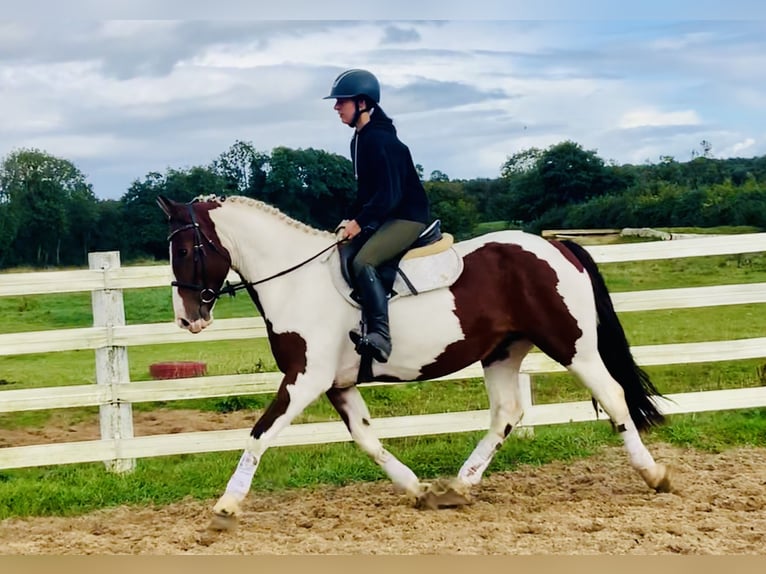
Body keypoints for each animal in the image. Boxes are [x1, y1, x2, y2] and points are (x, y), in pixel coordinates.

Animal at [156, 196, 672, 536]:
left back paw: (654, 475)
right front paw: (417, 489)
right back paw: (457, 487)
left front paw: (226, 507)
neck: (296, 282)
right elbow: (367, 440)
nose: (187, 318)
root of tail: (558, 247)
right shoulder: (338, 385)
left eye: (185, 249)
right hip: (503, 352)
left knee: (613, 396)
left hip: (572, 347)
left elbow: (259, 434)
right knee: (507, 414)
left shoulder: (305, 380)